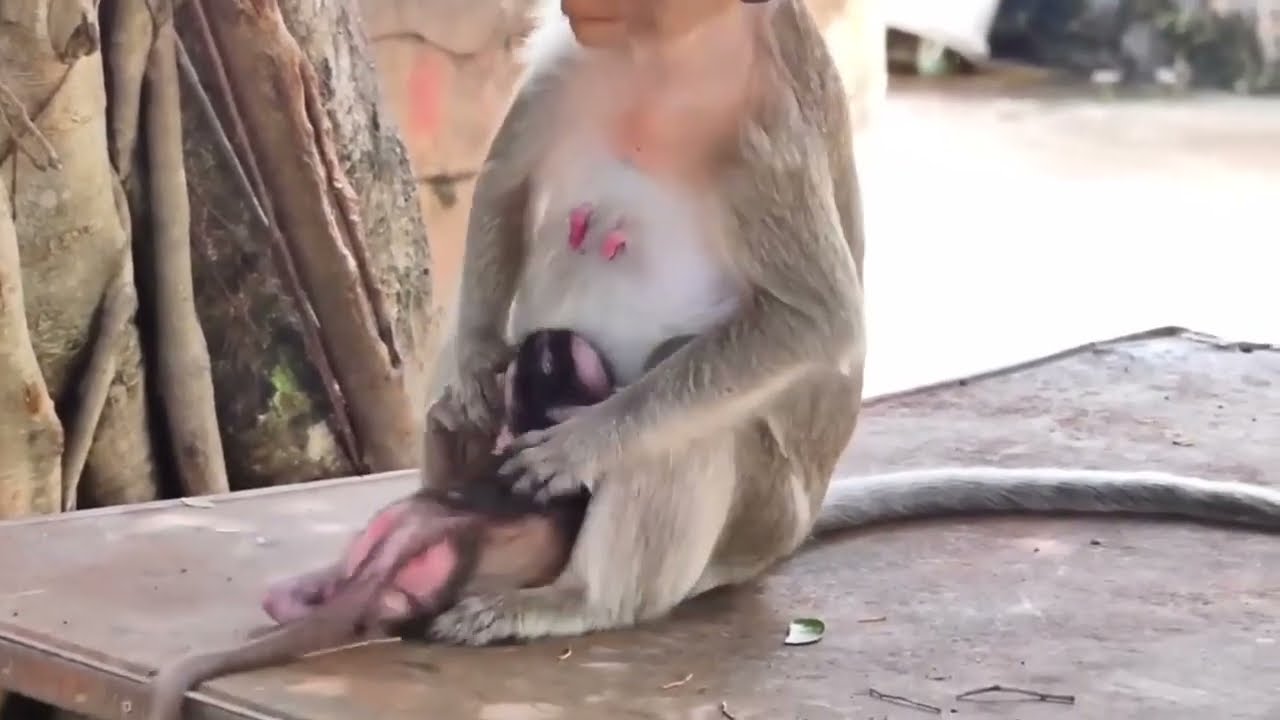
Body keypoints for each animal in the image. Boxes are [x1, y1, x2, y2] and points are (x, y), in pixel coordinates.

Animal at [400, 0, 1280, 650]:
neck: (668, 56)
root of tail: (795, 527)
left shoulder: (765, 136)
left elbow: (820, 320)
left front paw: (585, 442)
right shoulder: (566, 61)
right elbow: (506, 188)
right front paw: (470, 374)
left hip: (758, 517)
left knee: (697, 421)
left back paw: (579, 599)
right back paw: (462, 460)